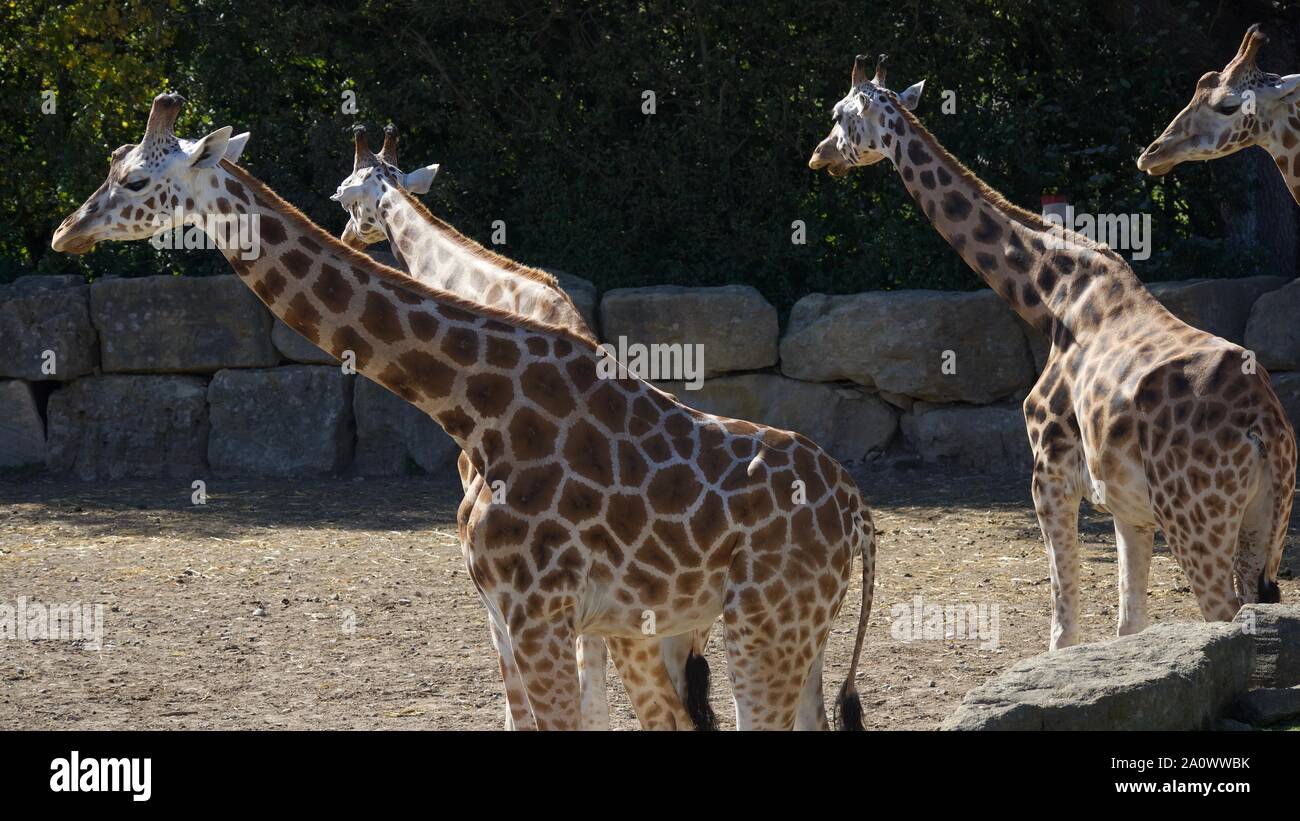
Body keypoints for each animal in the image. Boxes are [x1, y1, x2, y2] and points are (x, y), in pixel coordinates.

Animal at [806, 54, 1294, 652]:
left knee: (1219, 611)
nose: (819, 155)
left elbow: (1064, 632)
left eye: (839, 114)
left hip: (1197, 523)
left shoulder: (1048, 472)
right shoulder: (1128, 509)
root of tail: (1265, 426)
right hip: (1262, 527)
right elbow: (1128, 626)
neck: (1050, 297)